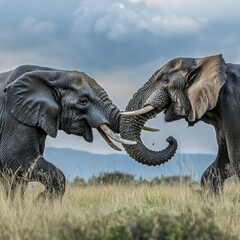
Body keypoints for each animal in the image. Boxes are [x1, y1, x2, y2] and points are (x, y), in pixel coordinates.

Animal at [120, 54, 240, 193]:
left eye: (165, 81)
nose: (169, 138)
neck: (200, 62)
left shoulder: (232, 105)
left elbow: (235, 159)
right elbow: (220, 165)